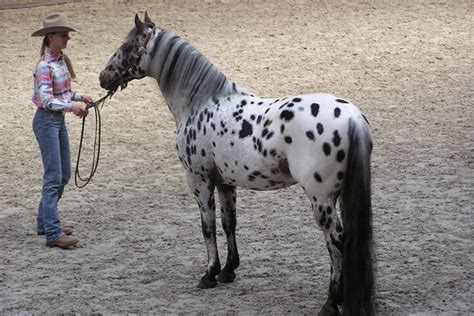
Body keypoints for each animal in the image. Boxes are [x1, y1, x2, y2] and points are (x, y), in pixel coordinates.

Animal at [99, 12, 374, 316]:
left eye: (126, 46)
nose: (103, 77)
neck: (201, 103)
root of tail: (352, 118)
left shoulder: (199, 181)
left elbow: (207, 226)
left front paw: (209, 274)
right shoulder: (225, 183)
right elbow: (228, 222)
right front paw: (228, 270)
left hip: (321, 200)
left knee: (336, 242)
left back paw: (331, 302)